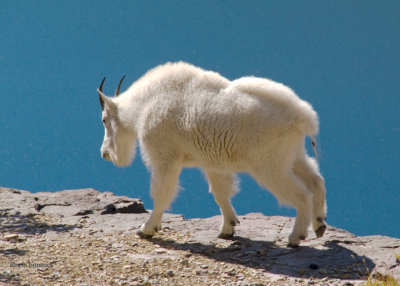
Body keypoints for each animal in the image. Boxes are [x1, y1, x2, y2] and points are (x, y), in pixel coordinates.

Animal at [98, 61, 326, 247]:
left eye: (104, 120)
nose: (104, 154)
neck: (144, 105)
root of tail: (303, 117)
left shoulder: (164, 158)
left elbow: (161, 192)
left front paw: (146, 229)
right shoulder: (212, 162)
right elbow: (220, 192)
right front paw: (228, 228)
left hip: (270, 165)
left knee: (302, 194)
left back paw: (296, 237)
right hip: (293, 156)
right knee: (316, 180)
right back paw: (319, 225)